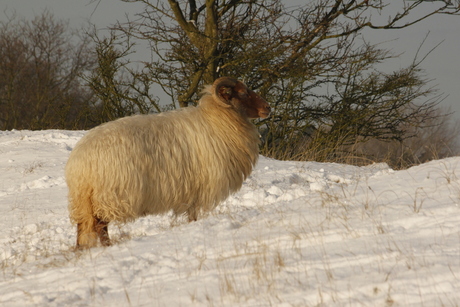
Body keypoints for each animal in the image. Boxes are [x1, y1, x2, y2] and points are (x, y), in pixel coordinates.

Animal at [66, 77, 272, 250]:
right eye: (243, 93)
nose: (268, 108)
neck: (219, 119)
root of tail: (79, 164)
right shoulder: (200, 188)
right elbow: (193, 217)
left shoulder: (192, 191)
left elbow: (192, 215)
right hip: (110, 195)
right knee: (101, 226)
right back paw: (107, 248)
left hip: (88, 200)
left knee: (83, 226)